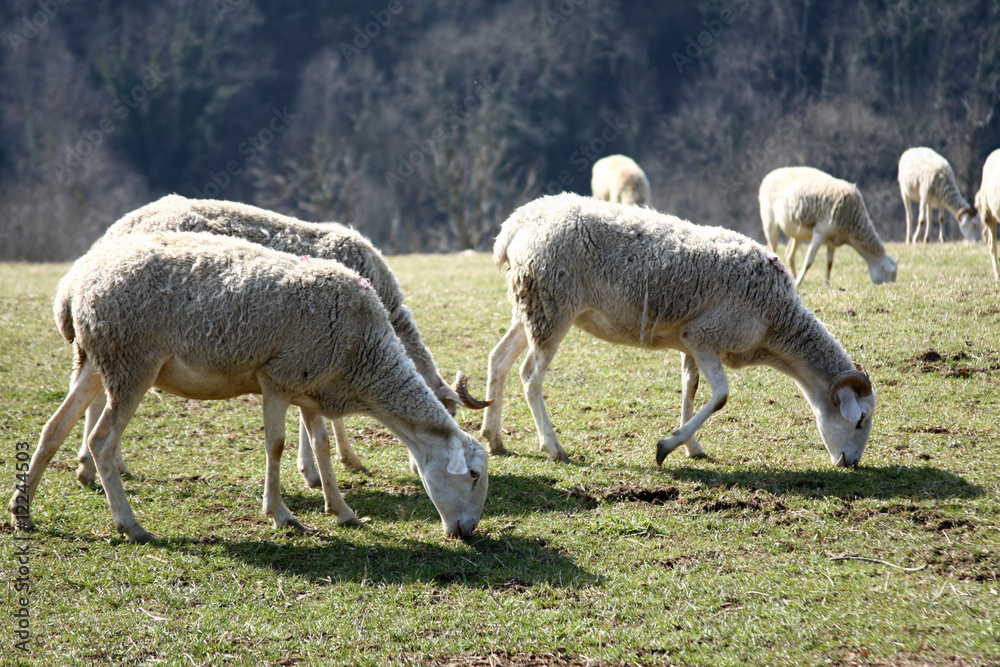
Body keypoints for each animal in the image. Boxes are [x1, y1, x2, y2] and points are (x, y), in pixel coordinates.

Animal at [8, 232, 489, 543]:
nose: (467, 532)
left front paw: (344, 512)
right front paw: (281, 515)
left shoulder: (311, 387)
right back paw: (132, 526)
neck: (363, 360)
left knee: (54, 428)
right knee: (101, 440)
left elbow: (321, 448)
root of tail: (75, 285)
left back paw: (22, 513)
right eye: (474, 475)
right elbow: (275, 446)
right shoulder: (277, 379)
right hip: (132, 361)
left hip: (95, 358)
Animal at [75, 194, 489, 491]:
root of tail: (117, 228)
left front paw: (332, 463)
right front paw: (325, 468)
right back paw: (99, 462)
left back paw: (94, 465)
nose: (417, 464)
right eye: (449, 414)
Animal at [480, 193, 875, 468]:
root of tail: (515, 225)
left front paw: (691, 447)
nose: (851, 464)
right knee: (530, 375)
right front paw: (666, 447)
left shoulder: (690, 343)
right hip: (553, 306)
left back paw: (494, 439)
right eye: (859, 422)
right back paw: (554, 448)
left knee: (499, 359)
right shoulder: (705, 336)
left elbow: (690, 389)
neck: (775, 324)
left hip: (530, 305)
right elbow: (721, 396)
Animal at [759, 166, 897, 287]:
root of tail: (771, 174)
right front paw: (798, 283)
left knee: (789, 254)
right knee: (772, 247)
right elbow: (809, 261)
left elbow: (829, 264)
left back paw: (793, 275)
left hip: (796, 232)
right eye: (889, 274)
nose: (889, 286)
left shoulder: (832, 240)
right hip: (770, 221)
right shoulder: (820, 233)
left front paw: (826, 284)